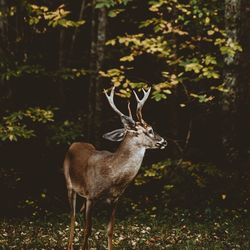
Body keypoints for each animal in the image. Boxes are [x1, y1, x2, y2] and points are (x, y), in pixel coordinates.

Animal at [63, 86, 167, 250]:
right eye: (150, 130)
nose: (163, 141)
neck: (112, 176)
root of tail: (75, 143)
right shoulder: (91, 196)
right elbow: (88, 230)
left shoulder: (115, 199)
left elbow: (110, 230)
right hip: (69, 185)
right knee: (72, 217)